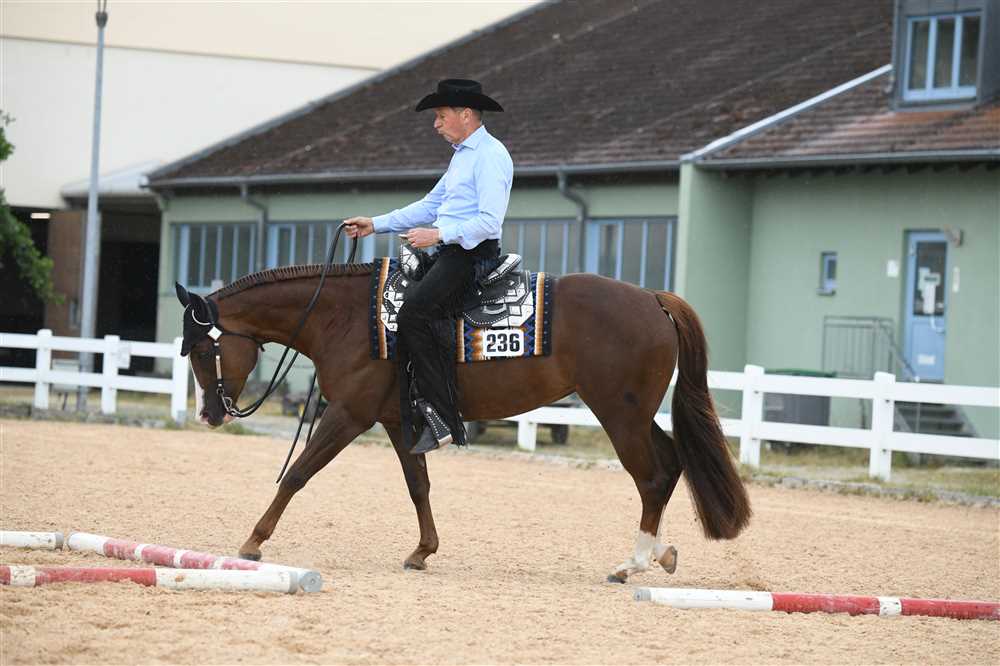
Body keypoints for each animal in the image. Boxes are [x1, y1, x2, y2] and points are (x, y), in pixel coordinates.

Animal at [174, 262, 751, 582]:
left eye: (202, 349)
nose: (207, 413)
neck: (347, 318)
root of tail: (654, 300)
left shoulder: (348, 415)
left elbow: (297, 473)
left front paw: (253, 542)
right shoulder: (396, 421)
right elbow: (418, 486)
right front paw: (422, 552)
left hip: (619, 414)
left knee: (651, 477)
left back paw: (631, 564)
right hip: (633, 414)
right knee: (671, 464)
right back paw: (662, 554)